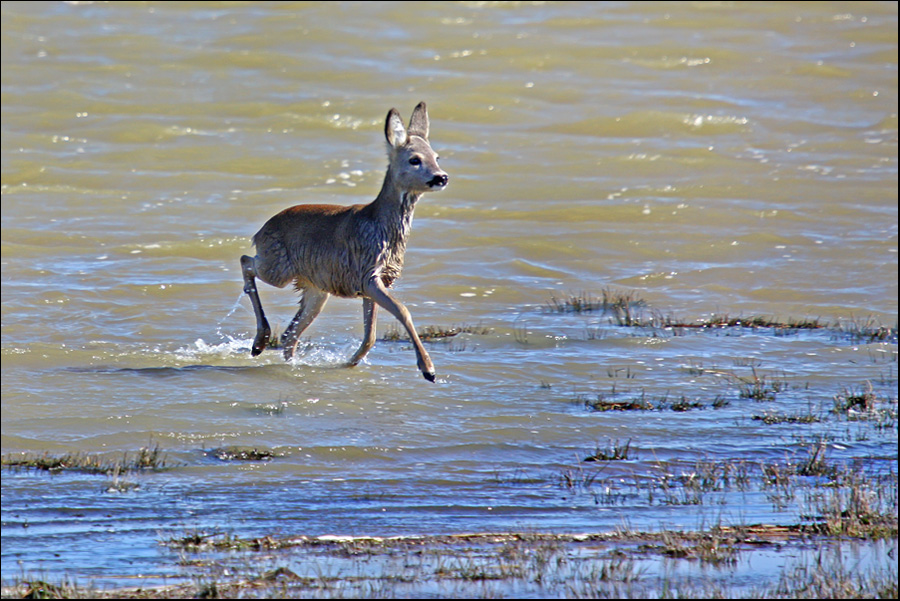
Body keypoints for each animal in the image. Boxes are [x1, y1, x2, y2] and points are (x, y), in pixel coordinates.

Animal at [239, 99, 450, 380]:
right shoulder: (368, 274)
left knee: (290, 334)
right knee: (246, 261)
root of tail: (260, 231)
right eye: (414, 159)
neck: (381, 228)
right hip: (278, 268)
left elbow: (370, 335)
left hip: (316, 288)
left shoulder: (377, 280)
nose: (441, 177)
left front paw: (349, 363)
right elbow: (403, 311)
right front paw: (428, 369)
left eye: (436, 157)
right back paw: (259, 342)